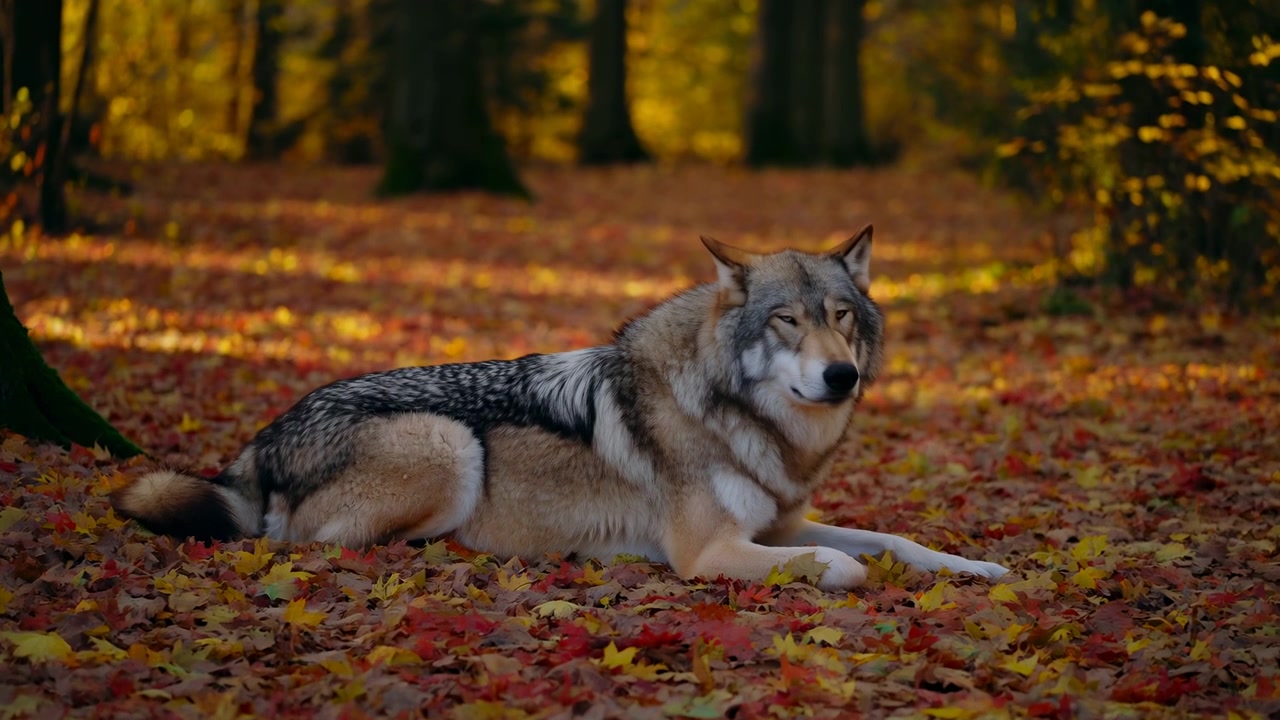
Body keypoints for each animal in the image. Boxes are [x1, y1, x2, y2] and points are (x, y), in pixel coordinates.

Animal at [112, 226, 1009, 590]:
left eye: (843, 317)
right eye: (787, 319)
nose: (841, 377)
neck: (734, 415)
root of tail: (260, 441)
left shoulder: (781, 524)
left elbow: (893, 539)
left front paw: (977, 567)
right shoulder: (711, 551)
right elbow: (844, 563)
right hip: (448, 445)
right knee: (313, 545)